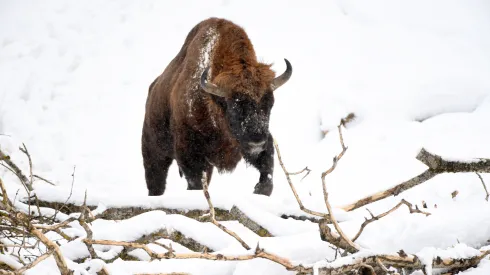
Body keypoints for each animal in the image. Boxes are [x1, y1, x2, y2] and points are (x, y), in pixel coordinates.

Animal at [143, 17, 294, 197]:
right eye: (234, 106)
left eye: (270, 103)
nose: (256, 143)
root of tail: (152, 88)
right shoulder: (190, 156)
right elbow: (195, 183)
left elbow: (267, 175)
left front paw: (258, 189)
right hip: (154, 153)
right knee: (156, 181)